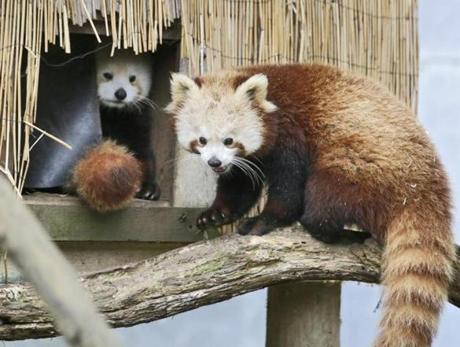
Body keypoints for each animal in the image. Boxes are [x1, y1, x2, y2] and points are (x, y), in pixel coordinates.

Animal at [166, 63, 456, 347]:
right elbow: (240, 185)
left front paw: (264, 220)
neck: (271, 100)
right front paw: (215, 215)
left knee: (323, 201)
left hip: (359, 166)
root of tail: (426, 188)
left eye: (229, 140)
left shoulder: (290, 132)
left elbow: (288, 187)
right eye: (202, 140)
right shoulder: (248, 160)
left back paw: (336, 233)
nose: (214, 163)